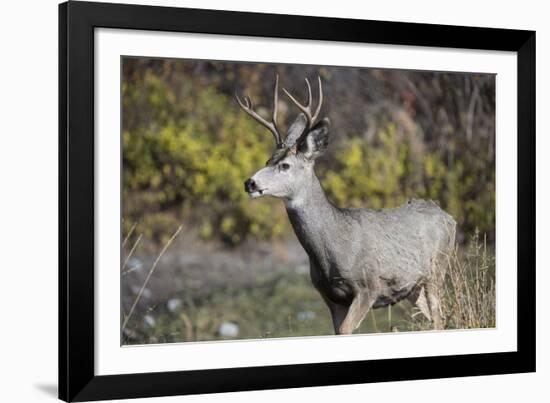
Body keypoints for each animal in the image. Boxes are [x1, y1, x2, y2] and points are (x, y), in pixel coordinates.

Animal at [237, 76, 458, 334]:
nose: (250, 183)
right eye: (267, 160)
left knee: (440, 318)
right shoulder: (330, 297)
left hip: (437, 269)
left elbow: (345, 329)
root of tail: (449, 217)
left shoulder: (369, 287)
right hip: (413, 286)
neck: (334, 247)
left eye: (285, 165)